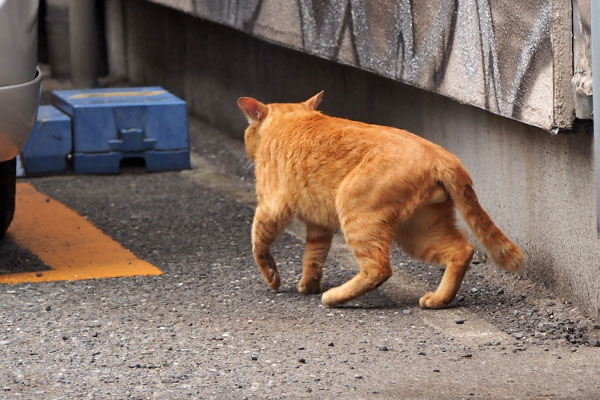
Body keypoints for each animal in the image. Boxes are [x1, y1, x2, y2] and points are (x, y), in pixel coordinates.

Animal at [237, 91, 524, 310]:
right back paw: (439, 299)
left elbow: (258, 243)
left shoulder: (270, 207)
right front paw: (309, 284)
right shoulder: (319, 224)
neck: (292, 121)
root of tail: (441, 154)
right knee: (462, 250)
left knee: (379, 268)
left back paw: (334, 297)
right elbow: (314, 256)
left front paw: (272, 278)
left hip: (359, 214)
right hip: (420, 229)